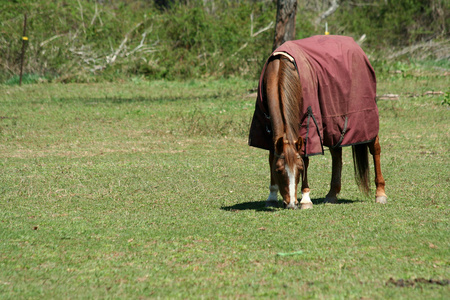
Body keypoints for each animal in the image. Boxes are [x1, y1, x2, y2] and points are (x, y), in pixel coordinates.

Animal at [248, 35, 388, 209]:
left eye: (300, 169)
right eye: (279, 170)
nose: (292, 203)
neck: (279, 68)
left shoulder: (309, 125)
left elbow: (306, 157)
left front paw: (306, 199)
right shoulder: (267, 129)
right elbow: (270, 157)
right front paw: (272, 196)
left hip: (365, 119)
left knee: (375, 148)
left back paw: (380, 193)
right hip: (333, 124)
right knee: (336, 153)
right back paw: (332, 193)